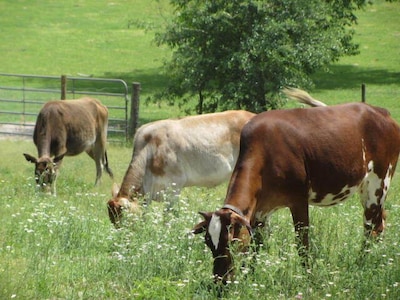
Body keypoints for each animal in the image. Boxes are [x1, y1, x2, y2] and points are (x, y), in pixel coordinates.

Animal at [193, 96, 400, 284]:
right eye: (208, 242)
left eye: (231, 242)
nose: (220, 281)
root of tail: (380, 111)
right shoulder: (261, 211)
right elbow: (256, 246)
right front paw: (250, 277)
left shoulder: (298, 200)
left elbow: (302, 243)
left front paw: (308, 278)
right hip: (367, 187)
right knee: (380, 222)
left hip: (379, 181)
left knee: (371, 227)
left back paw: (361, 264)